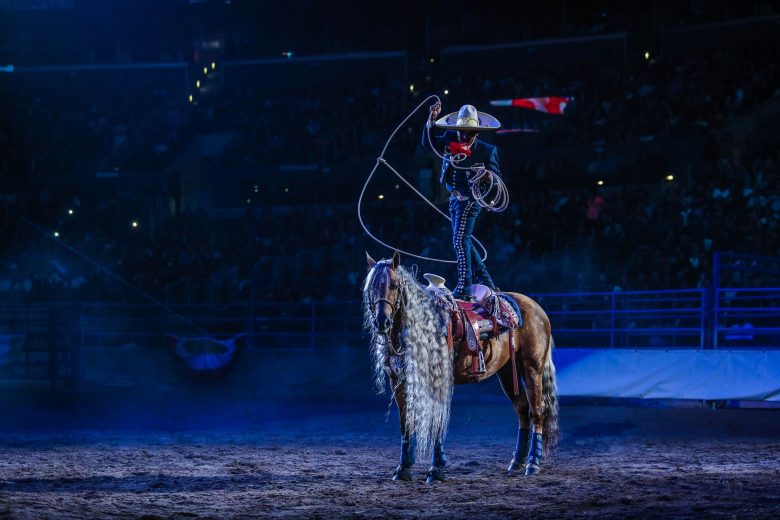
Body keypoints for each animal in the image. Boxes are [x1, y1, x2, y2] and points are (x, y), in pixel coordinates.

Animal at [362, 252, 556, 484]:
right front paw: (403, 469)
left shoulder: (439, 381)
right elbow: (406, 423)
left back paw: (532, 463)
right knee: (522, 410)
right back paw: (516, 462)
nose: (382, 322)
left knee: (537, 411)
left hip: (532, 368)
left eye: (394, 285)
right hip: (508, 372)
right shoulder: (399, 383)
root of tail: (537, 309)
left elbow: (437, 423)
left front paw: (436, 470)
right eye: (371, 287)